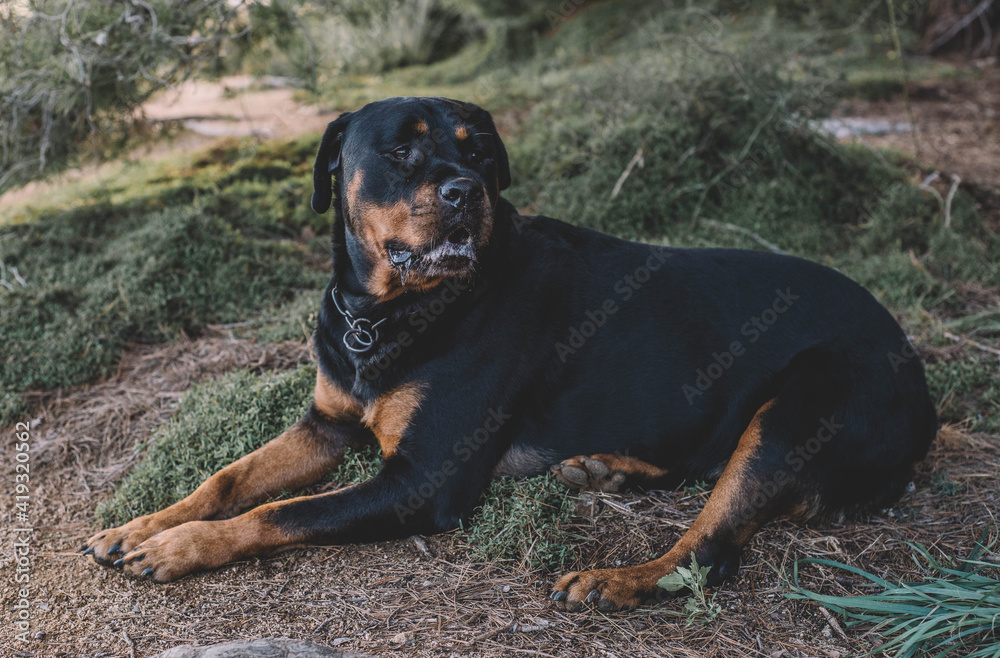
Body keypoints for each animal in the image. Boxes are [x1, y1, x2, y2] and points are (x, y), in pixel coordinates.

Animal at [84, 96, 936, 608]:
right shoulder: (325, 424)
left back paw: (616, 577)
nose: (465, 191)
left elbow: (282, 511)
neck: (390, 313)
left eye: (479, 154)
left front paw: (180, 545)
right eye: (400, 153)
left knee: (712, 545)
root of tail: (920, 383)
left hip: (800, 405)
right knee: (702, 466)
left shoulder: (422, 481)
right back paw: (606, 468)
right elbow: (230, 478)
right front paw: (143, 524)